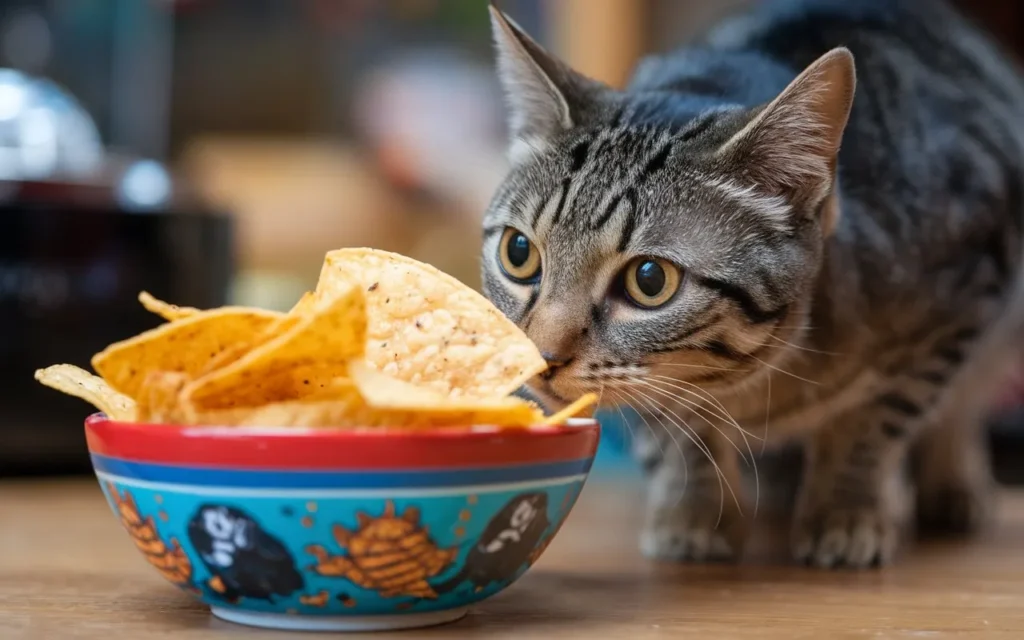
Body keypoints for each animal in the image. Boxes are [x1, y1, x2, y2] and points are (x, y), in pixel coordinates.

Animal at [483, 0, 1024, 569]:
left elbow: (874, 422)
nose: (541, 357)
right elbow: (679, 430)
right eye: (518, 253)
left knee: (964, 401)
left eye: (649, 280)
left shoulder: (961, 302)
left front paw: (844, 510)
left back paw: (953, 485)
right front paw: (696, 513)